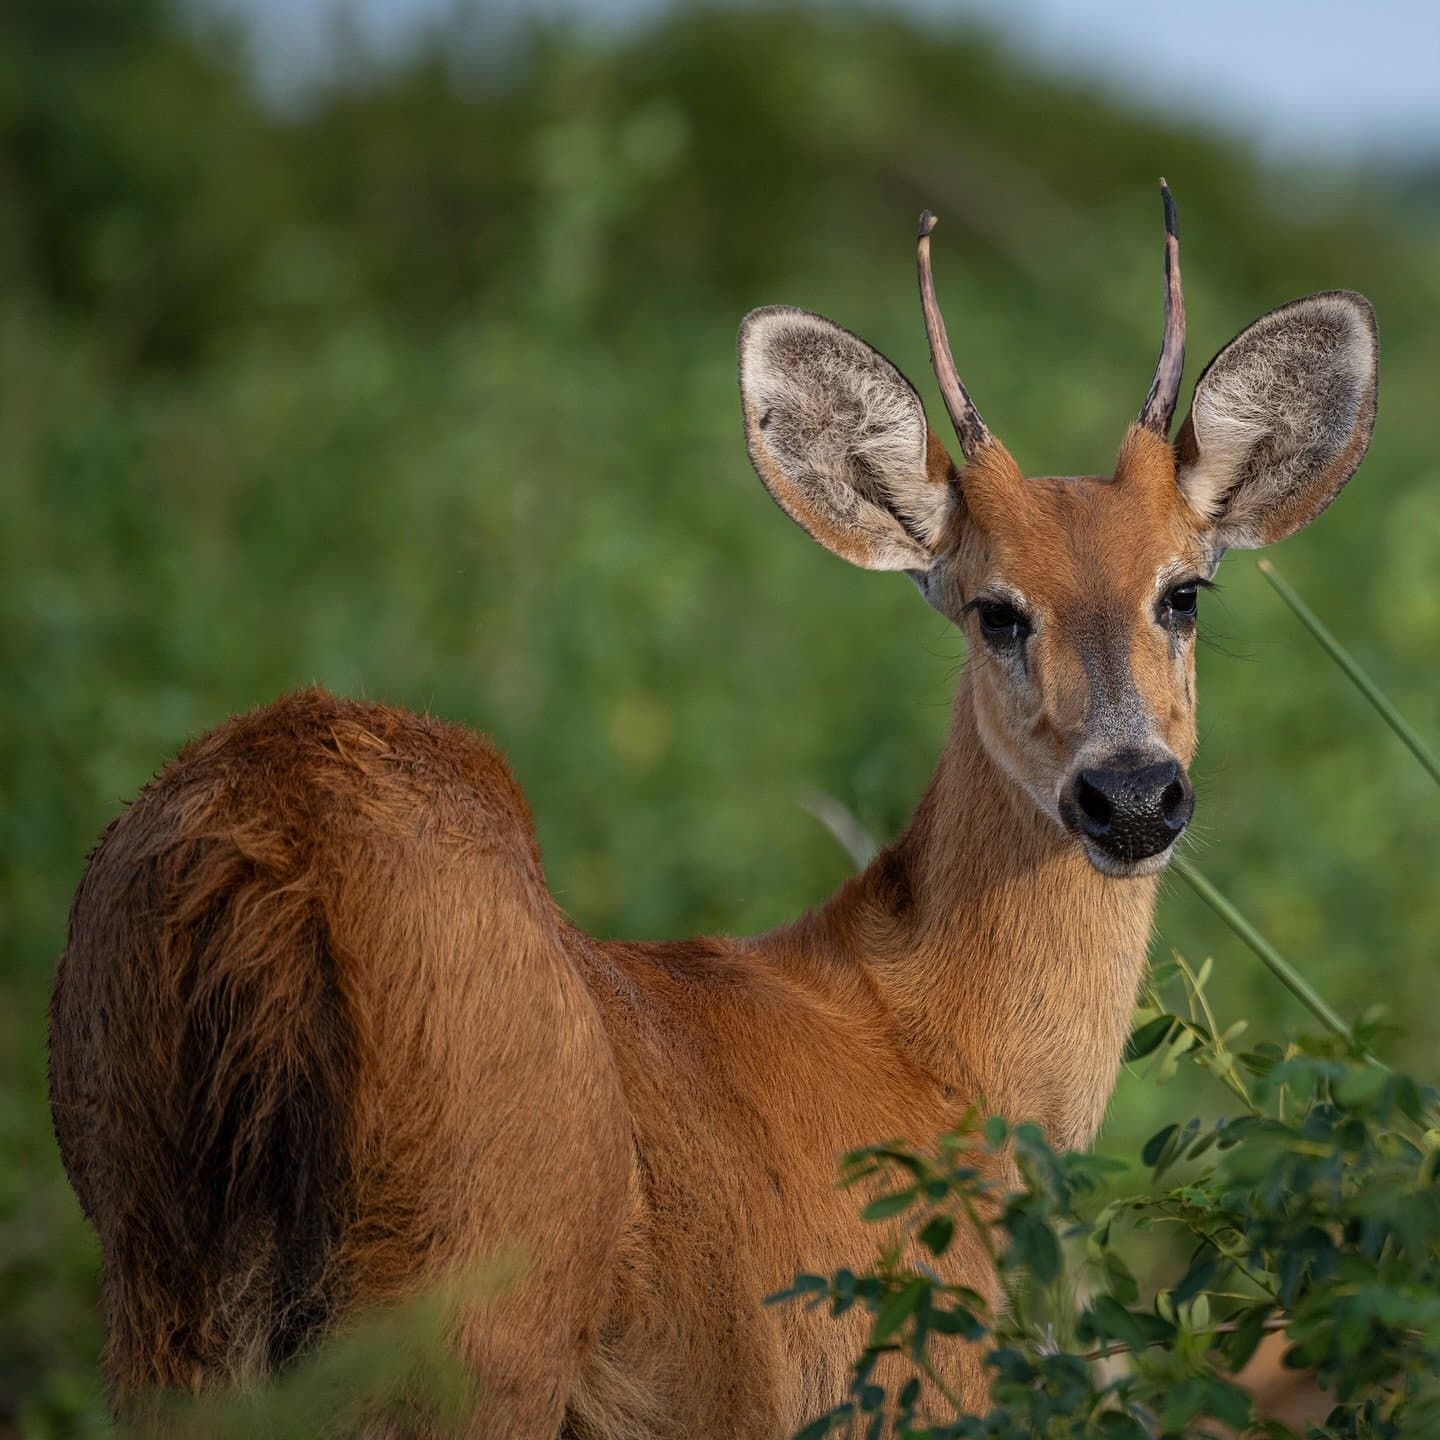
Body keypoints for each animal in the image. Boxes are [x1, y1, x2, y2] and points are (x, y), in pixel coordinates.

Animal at [49, 183, 1378, 1438]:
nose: (1131, 793)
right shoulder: (906, 1386)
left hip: (162, 1297)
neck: (938, 1057)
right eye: (997, 609)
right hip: (467, 1303)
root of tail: (277, 850)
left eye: (1184, 592)